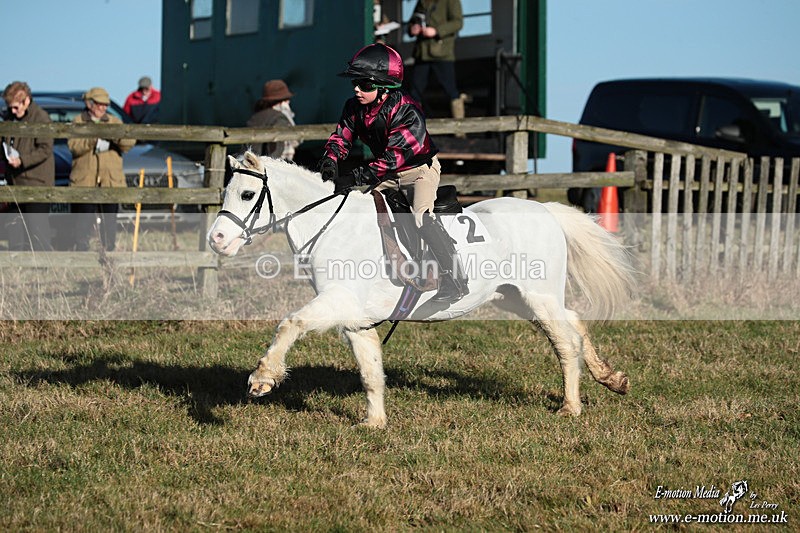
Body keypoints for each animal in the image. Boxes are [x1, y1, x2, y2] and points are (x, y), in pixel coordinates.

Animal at [207, 151, 636, 428]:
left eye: (247, 195)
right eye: (224, 194)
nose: (217, 239)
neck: (332, 225)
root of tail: (546, 210)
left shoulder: (337, 300)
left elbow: (290, 323)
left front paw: (263, 378)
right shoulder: (354, 316)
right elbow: (370, 369)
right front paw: (374, 423)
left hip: (538, 296)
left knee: (565, 343)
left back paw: (571, 407)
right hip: (516, 297)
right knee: (575, 323)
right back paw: (612, 378)